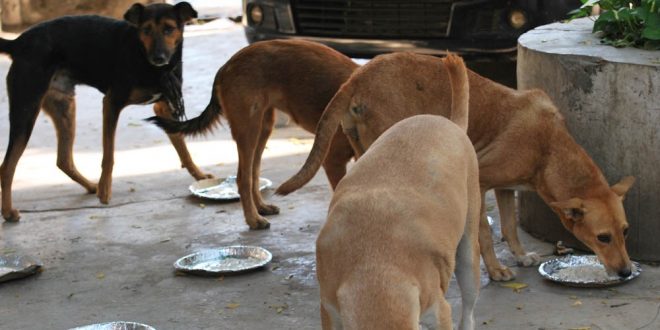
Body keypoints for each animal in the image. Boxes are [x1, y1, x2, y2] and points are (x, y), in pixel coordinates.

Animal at [0, 1, 209, 222]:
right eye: (146, 30)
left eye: (169, 29)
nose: (158, 57)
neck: (147, 62)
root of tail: (18, 43)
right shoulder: (111, 103)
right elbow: (108, 155)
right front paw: (105, 191)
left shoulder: (163, 106)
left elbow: (183, 147)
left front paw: (199, 175)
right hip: (26, 108)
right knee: (7, 166)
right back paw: (8, 212)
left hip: (64, 107)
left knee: (63, 160)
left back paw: (91, 186)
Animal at [150, 39, 358, 229]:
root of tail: (227, 66)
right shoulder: (333, 160)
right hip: (248, 129)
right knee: (243, 178)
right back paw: (253, 219)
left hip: (263, 126)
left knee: (253, 172)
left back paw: (261, 207)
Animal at [278, 51, 636, 282]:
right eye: (603, 238)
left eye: (625, 231)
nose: (625, 272)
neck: (548, 147)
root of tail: (359, 74)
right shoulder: (481, 181)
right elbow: (486, 236)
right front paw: (496, 270)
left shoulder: (506, 188)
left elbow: (509, 227)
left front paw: (520, 256)